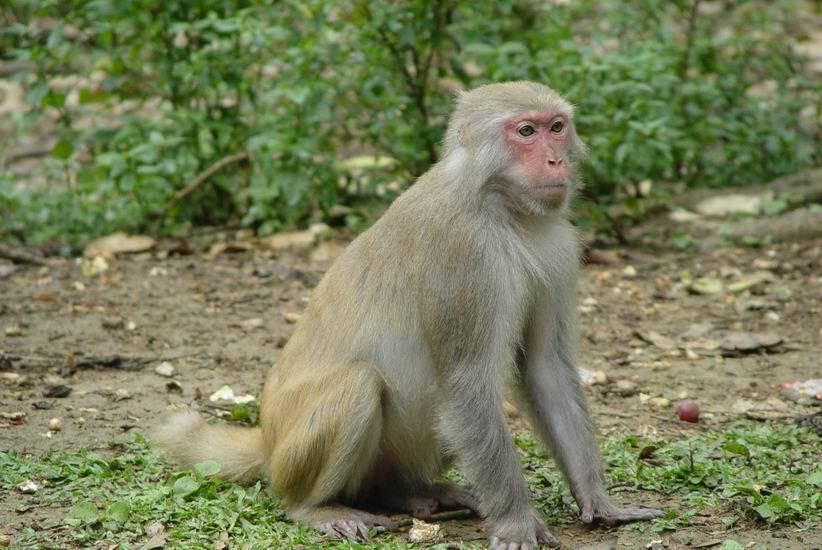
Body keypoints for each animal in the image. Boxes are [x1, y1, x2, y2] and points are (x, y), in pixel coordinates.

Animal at [156, 81, 663, 549]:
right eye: (526, 132)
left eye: (557, 128)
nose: (557, 161)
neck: (500, 207)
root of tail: (267, 436)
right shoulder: (462, 255)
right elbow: (466, 381)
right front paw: (517, 522)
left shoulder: (557, 248)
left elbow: (544, 368)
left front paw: (598, 499)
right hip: (291, 457)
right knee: (359, 385)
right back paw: (313, 507)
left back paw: (407, 493)